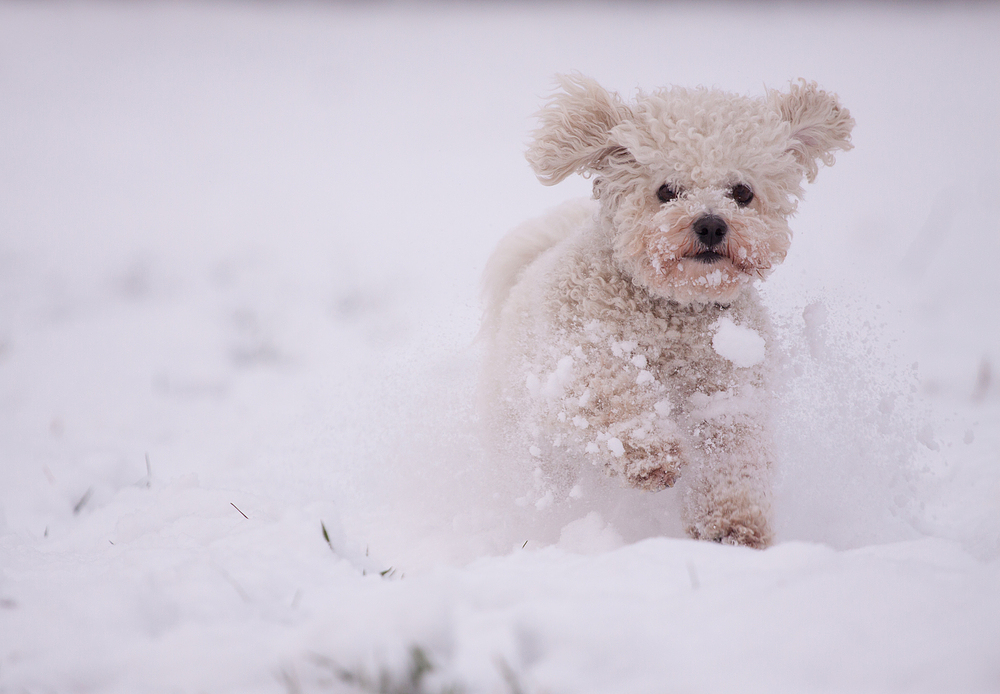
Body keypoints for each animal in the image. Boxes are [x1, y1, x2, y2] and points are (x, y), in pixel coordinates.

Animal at [480, 73, 856, 548]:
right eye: (666, 191)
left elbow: (732, 452)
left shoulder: (729, 393)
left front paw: (731, 526)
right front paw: (651, 453)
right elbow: (609, 390)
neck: (674, 312)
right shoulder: (573, 360)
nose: (711, 224)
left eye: (742, 192)